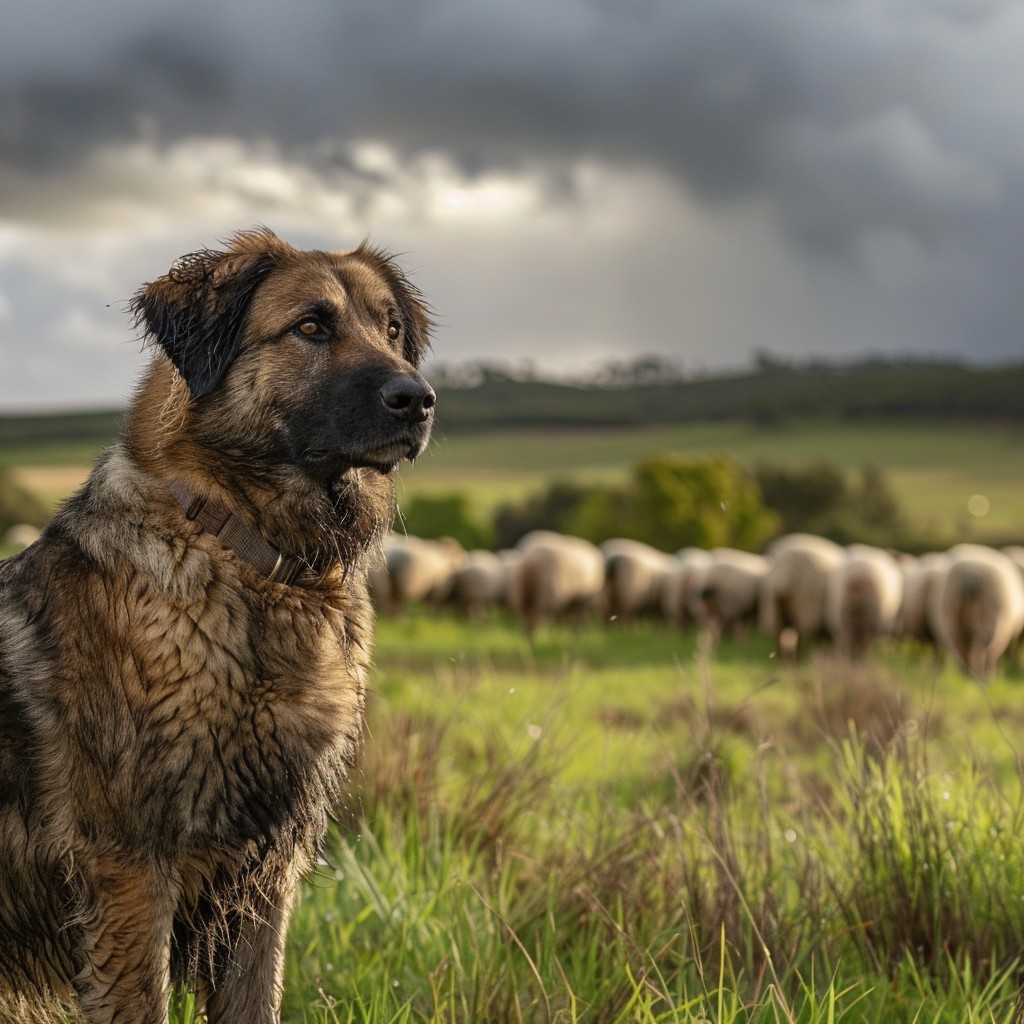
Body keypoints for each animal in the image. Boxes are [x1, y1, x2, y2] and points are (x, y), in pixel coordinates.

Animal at [929, 543, 1024, 680]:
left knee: (960, 647)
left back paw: (965, 674)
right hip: (990, 620)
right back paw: (984, 676)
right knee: (981, 651)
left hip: (951, 617)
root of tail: (970, 579)